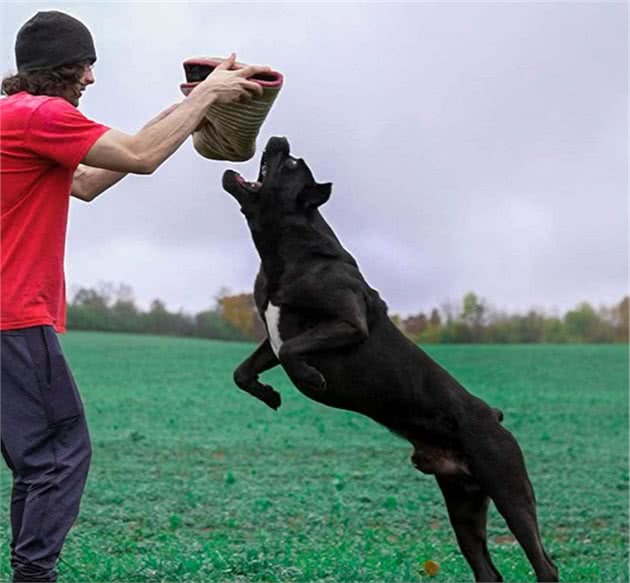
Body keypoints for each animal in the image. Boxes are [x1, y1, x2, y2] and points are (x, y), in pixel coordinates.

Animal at [222, 138, 556, 583]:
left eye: (290, 164)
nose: (280, 139)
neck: (285, 250)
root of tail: (493, 415)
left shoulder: (349, 322)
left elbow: (293, 351)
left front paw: (309, 379)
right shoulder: (270, 337)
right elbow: (243, 370)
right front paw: (269, 394)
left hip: (509, 489)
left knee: (544, 563)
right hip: (464, 505)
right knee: (488, 571)